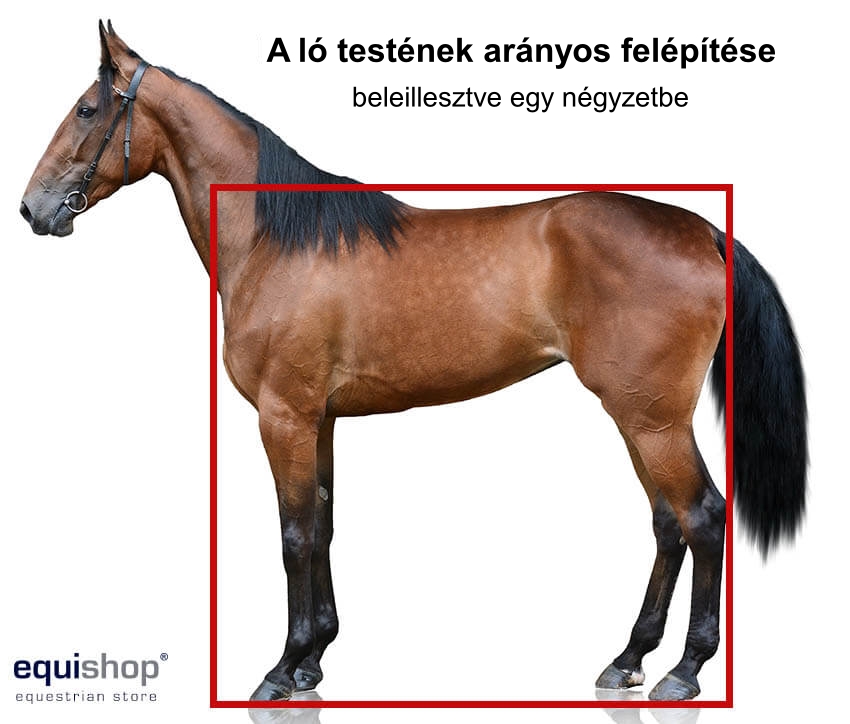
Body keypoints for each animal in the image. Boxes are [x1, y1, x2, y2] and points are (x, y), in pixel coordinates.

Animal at [20, 22, 807, 702]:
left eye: (87, 108)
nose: (33, 209)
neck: (279, 240)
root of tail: (703, 231)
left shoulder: (284, 417)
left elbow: (293, 535)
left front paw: (281, 669)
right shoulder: (321, 419)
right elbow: (325, 525)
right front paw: (314, 660)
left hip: (653, 420)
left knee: (702, 517)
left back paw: (685, 670)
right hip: (638, 417)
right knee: (668, 524)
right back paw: (628, 659)